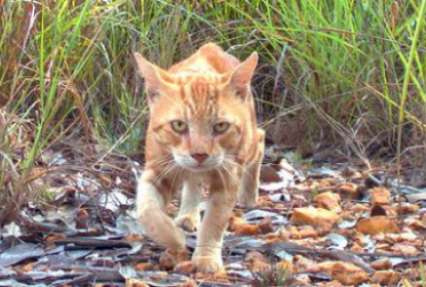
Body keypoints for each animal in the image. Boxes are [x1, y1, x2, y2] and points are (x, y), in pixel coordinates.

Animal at [135, 43, 264, 274]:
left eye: (220, 126)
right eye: (178, 125)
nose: (199, 154)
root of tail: (210, 47)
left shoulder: (227, 177)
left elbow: (214, 221)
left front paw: (206, 257)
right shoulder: (157, 169)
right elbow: (147, 211)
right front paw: (174, 238)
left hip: (248, 144)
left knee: (260, 138)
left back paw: (249, 194)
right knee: (192, 183)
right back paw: (187, 215)